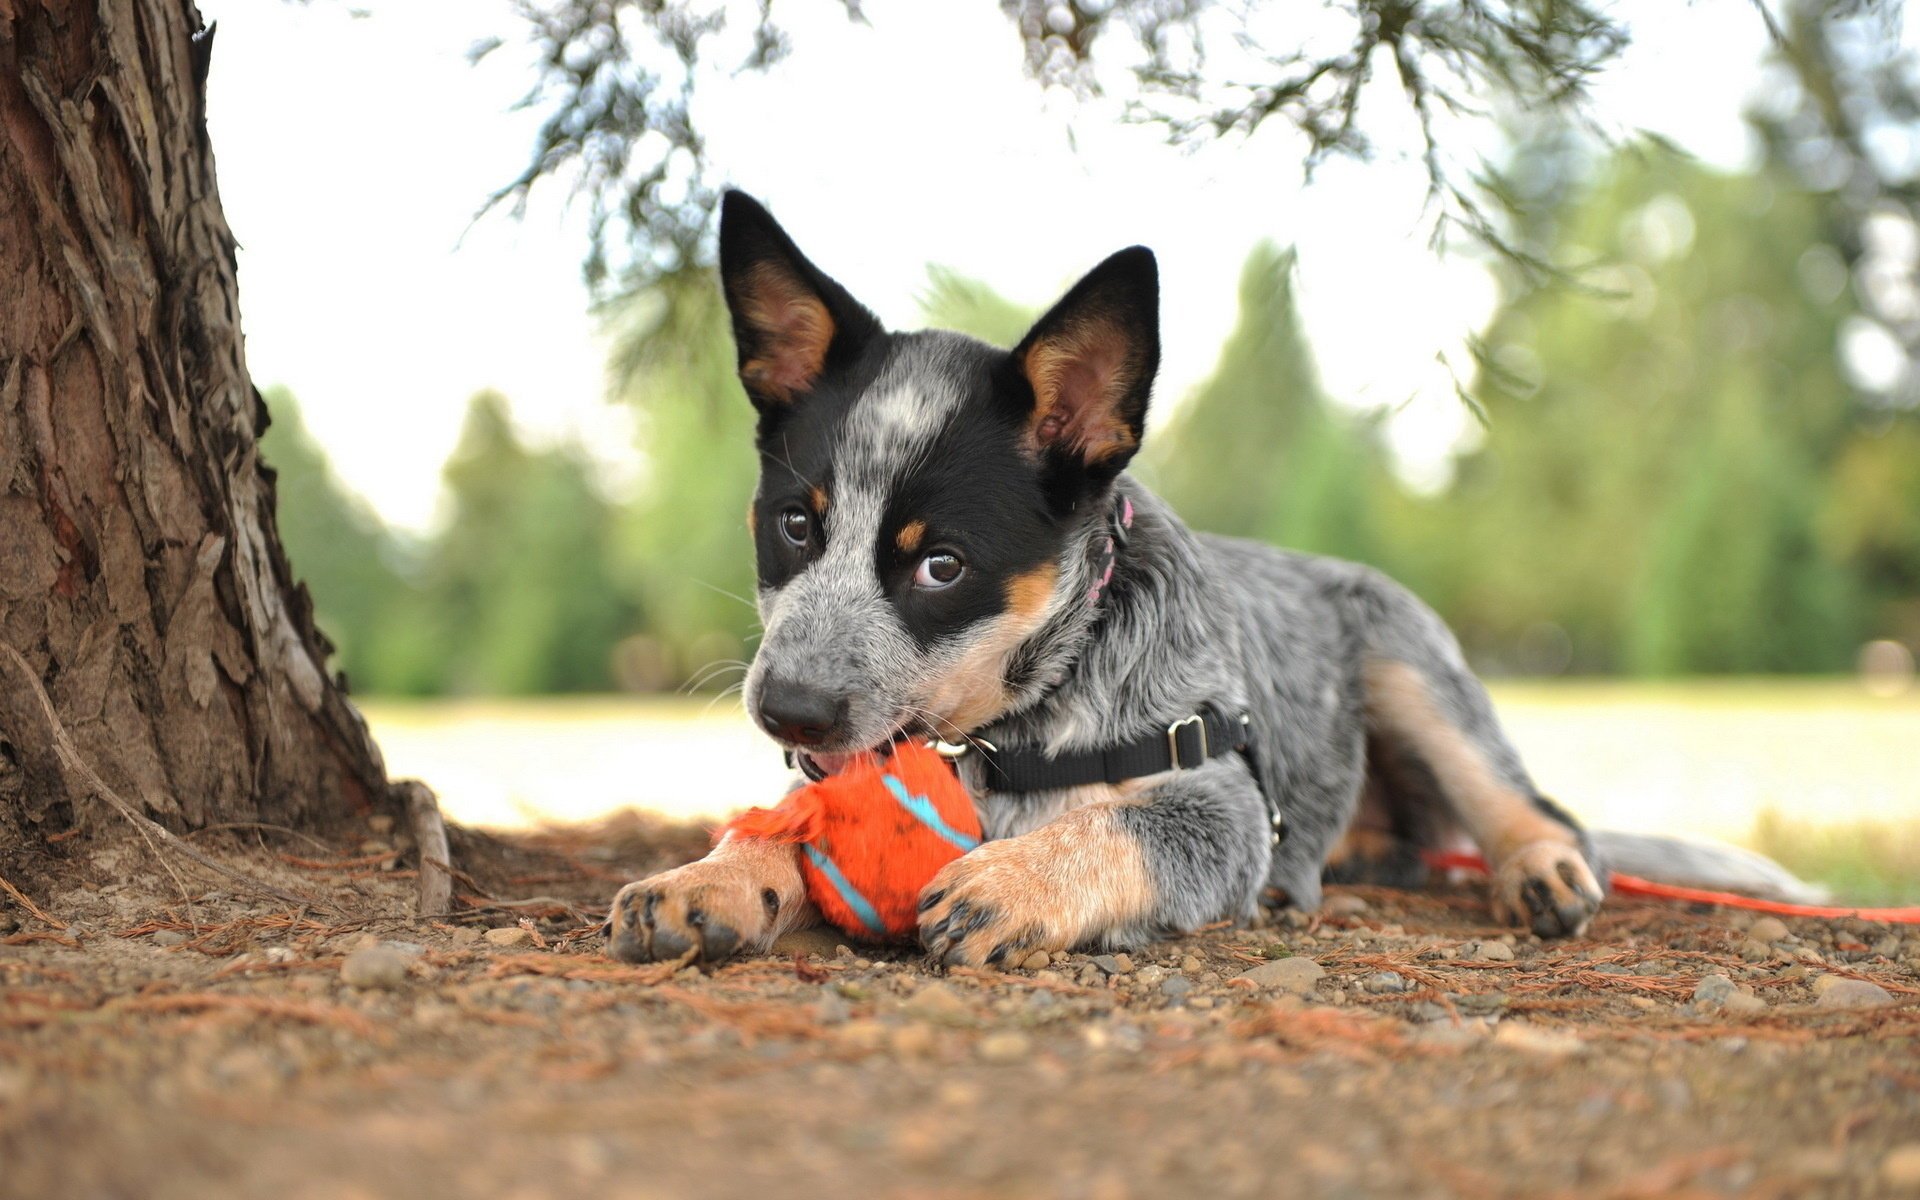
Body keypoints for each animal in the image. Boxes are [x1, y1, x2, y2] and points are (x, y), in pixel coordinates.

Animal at [606, 192, 1804, 967]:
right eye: (796, 525)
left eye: (941, 563)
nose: (786, 708)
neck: (1007, 739)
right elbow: (775, 825)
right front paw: (706, 879)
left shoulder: (1222, 807)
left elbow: (1124, 829)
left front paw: (1015, 883)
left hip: (1414, 669)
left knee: (1541, 805)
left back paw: (1540, 870)